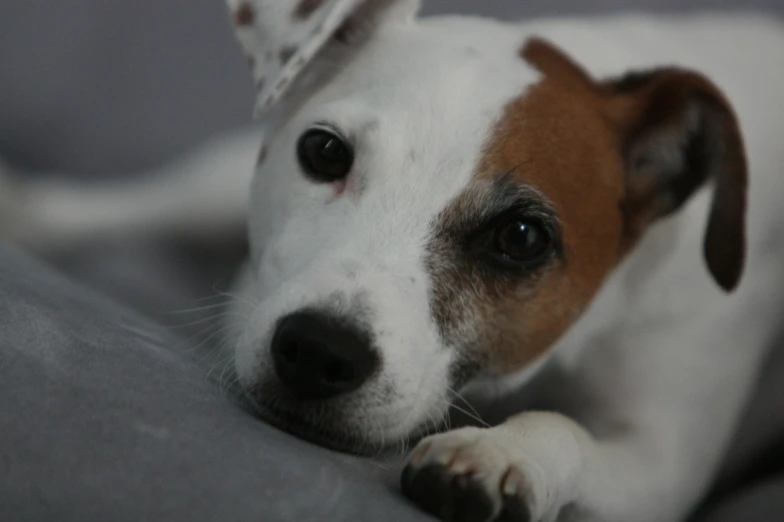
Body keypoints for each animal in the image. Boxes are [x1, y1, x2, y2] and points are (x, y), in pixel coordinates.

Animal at [1, 1, 784, 520]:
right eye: (323, 152)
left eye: (522, 237)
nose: (319, 350)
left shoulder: (662, 462)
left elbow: (570, 431)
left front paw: (505, 453)